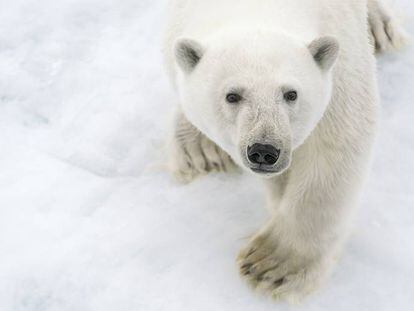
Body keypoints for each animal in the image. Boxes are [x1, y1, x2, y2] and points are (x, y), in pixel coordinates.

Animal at [163, 0, 406, 302]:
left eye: (291, 94)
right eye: (232, 96)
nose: (264, 150)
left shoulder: (342, 58)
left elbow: (337, 143)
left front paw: (272, 266)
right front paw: (201, 147)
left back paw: (379, 26)